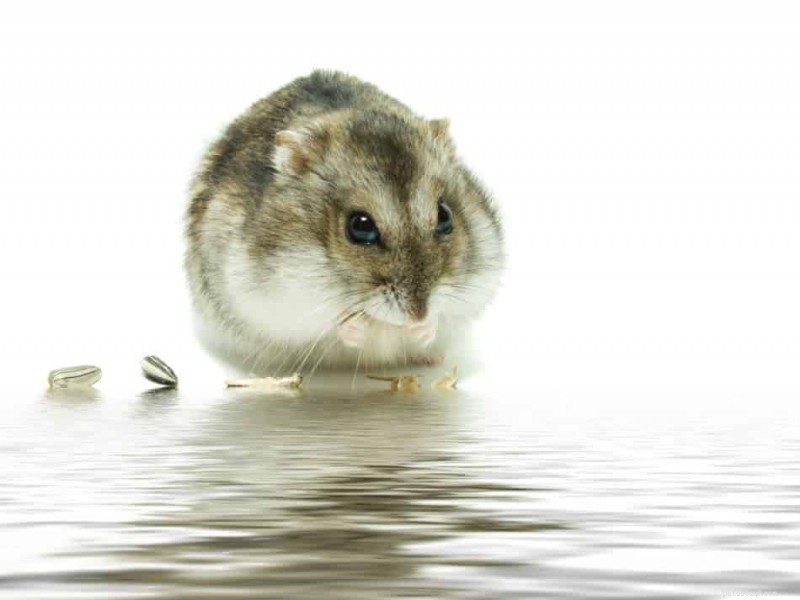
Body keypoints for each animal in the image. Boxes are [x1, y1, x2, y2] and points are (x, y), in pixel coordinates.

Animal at [185, 71, 504, 374]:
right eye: (360, 226)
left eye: (445, 216)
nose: (418, 313)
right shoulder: (273, 303)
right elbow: (334, 325)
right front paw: (357, 326)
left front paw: (423, 328)